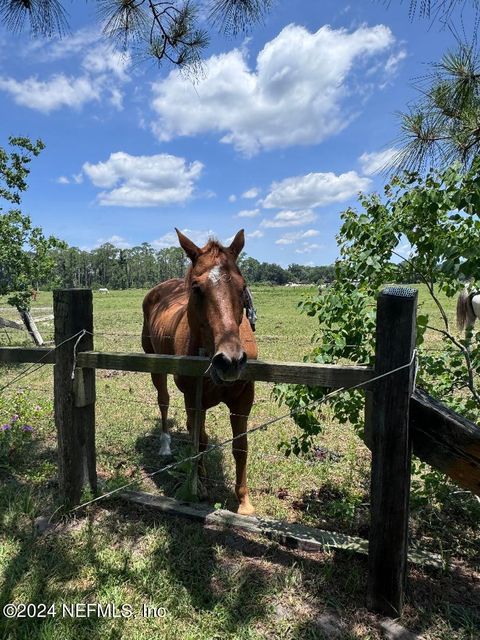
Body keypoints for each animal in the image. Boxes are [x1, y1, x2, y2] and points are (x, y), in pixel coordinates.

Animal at [141, 230, 256, 516]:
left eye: (242, 286)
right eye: (196, 288)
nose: (230, 361)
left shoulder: (243, 399)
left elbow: (241, 447)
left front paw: (244, 502)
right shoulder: (196, 399)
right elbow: (200, 441)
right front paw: (200, 485)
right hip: (156, 368)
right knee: (164, 401)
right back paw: (165, 445)